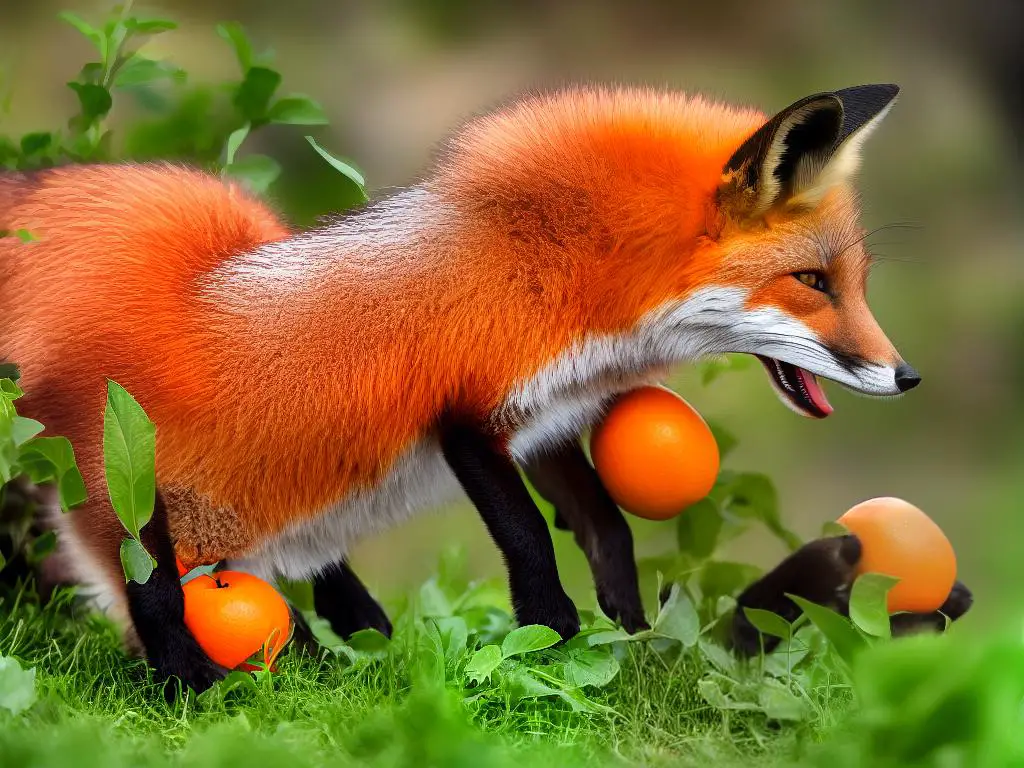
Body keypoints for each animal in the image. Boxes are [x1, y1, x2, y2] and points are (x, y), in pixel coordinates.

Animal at [0, 82, 970, 692]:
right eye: (812, 282)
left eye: (855, 284)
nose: (907, 375)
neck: (553, 270)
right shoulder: (466, 413)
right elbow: (530, 541)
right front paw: (552, 641)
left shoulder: (545, 418)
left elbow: (607, 529)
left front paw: (625, 635)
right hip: (129, 507)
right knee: (155, 604)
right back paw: (197, 688)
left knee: (331, 600)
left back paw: (349, 653)